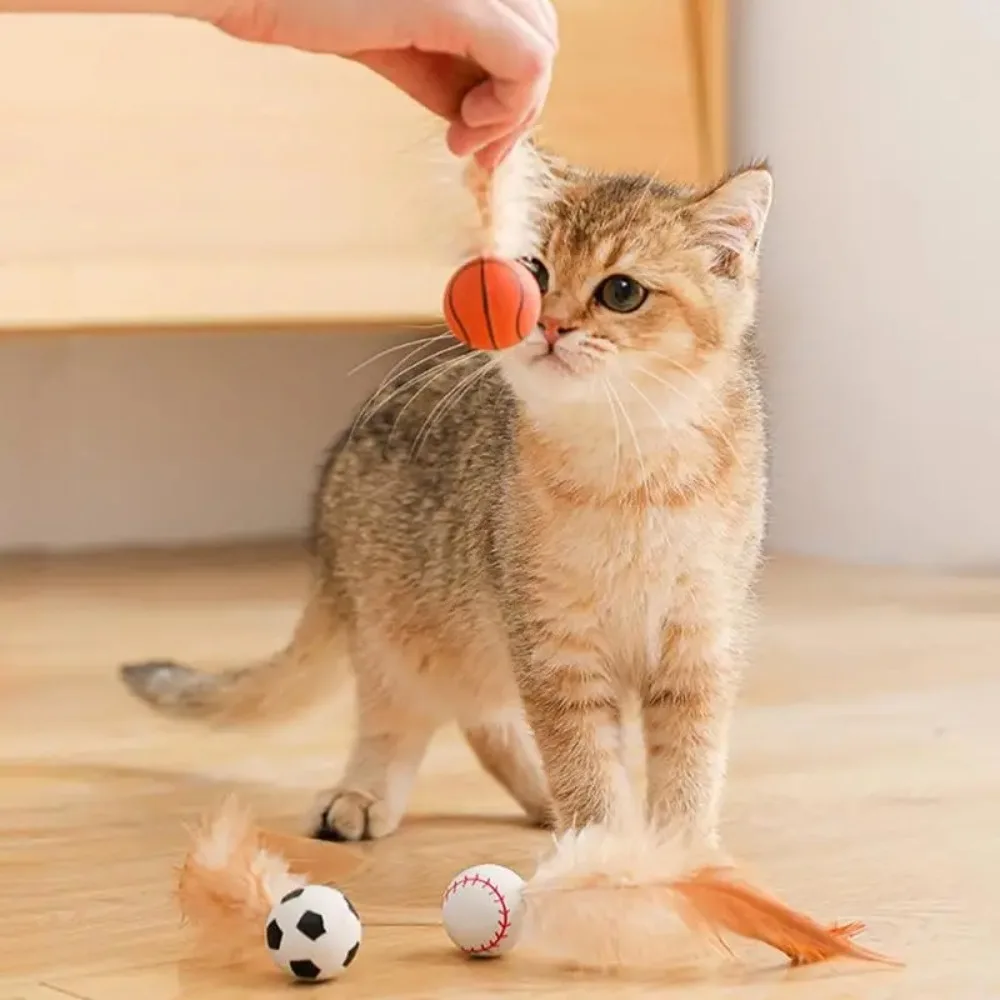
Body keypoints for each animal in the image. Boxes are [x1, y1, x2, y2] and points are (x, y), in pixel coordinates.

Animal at [117, 145, 772, 848]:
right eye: (533, 271)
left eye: (621, 292)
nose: (549, 325)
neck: (630, 471)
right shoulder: (552, 647)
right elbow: (586, 766)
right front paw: (606, 847)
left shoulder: (699, 645)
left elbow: (689, 771)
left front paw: (683, 852)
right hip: (404, 633)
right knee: (408, 721)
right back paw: (362, 796)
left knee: (486, 720)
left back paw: (541, 801)